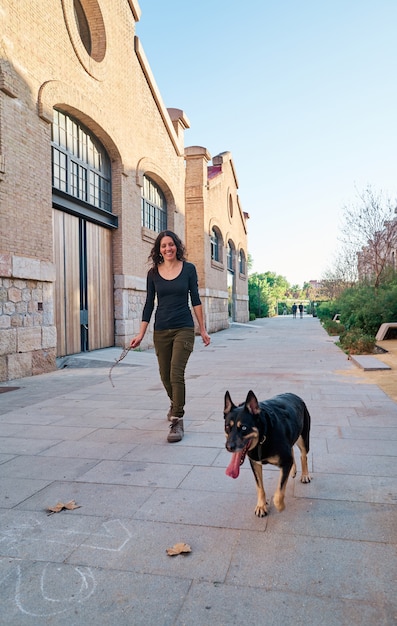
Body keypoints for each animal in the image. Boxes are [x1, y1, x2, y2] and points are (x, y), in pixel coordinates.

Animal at [223, 388, 310, 516]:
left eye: (244, 428)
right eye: (227, 427)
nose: (229, 447)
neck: (263, 436)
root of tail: (294, 395)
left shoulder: (285, 461)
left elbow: (278, 494)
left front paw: (280, 506)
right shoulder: (255, 463)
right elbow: (259, 487)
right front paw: (261, 505)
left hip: (303, 439)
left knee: (303, 456)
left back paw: (305, 475)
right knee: (292, 451)